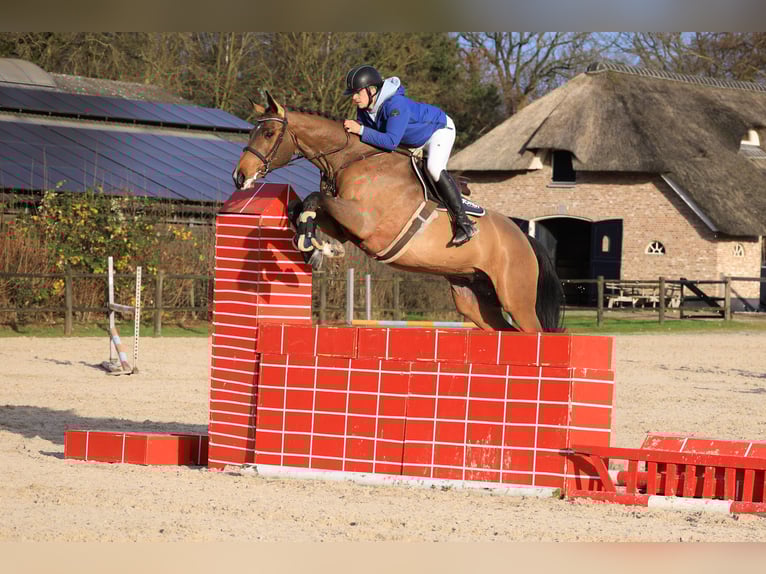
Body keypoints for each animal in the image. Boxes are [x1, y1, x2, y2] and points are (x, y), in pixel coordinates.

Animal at [233, 91, 564, 332]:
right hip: (474, 300)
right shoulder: (347, 225)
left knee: (534, 331)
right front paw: (316, 247)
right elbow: (302, 207)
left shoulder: (364, 223)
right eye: (251, 132)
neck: (352, 160)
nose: (239, 176)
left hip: (516, 298)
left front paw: (315, 247)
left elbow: (314, 199)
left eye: (269, 132)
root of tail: (525, 239)